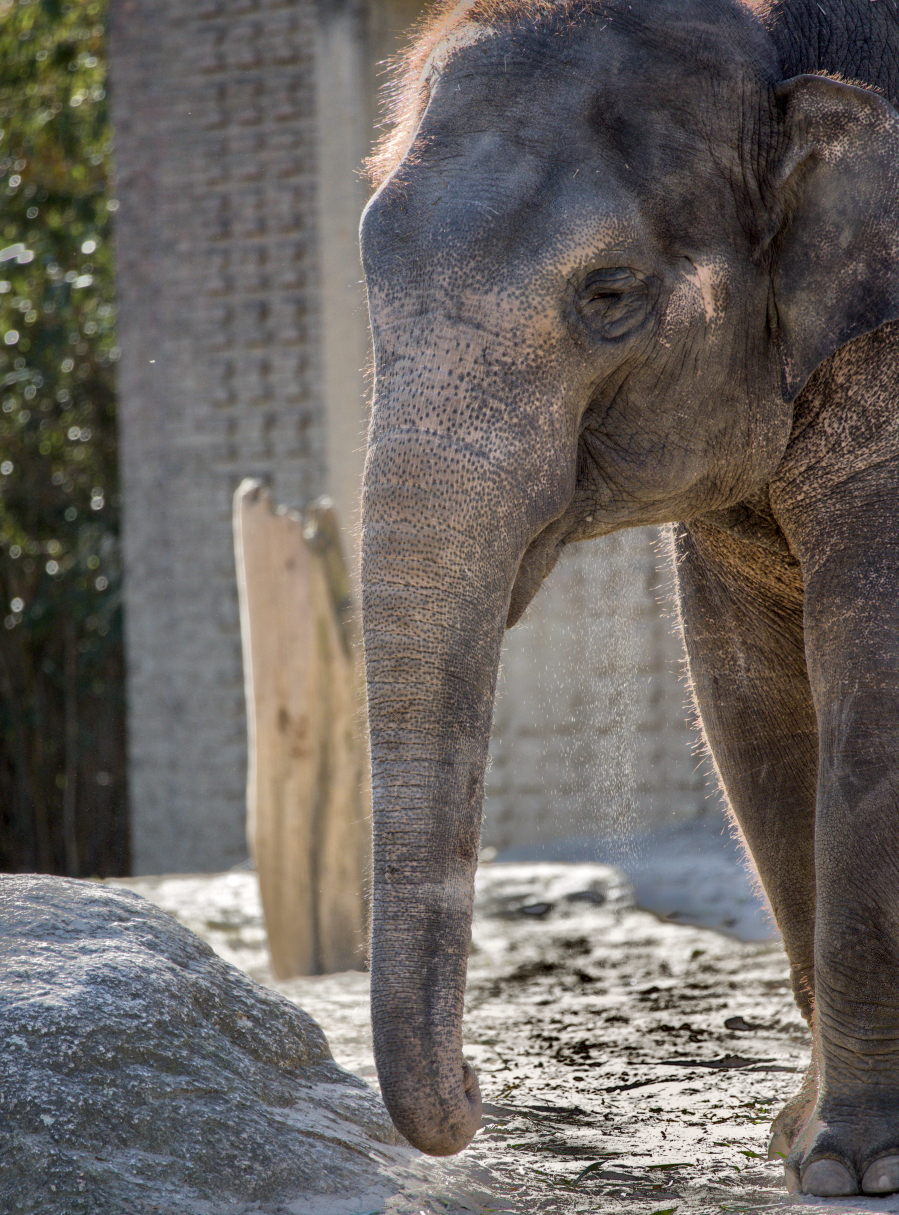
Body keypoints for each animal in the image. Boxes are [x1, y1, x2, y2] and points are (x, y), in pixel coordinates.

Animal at [358, 0, 899, 1197]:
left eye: (609, 296)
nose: (479, 1086)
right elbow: (745, 703)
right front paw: (794, 1142)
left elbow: (874, 697)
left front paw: (855, 1165)